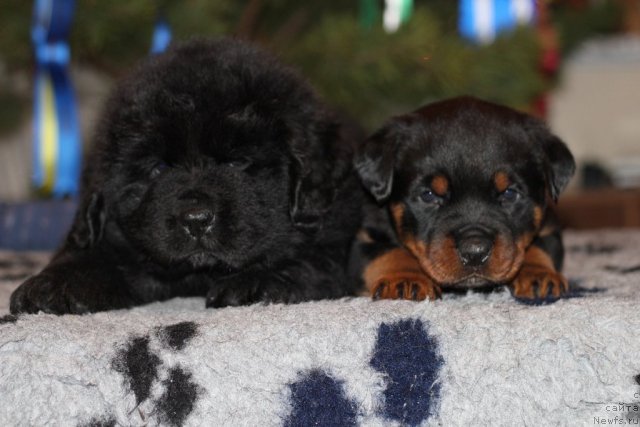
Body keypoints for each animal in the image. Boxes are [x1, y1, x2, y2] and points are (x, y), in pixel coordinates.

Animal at [10, 39, 362, 314]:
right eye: (159, 168)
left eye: (238, 162)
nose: (196, 219)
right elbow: (91, 253)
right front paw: (53, 284)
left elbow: (309, 262)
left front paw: (256, 282)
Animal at [352, 98, 576, 304]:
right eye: (428, 195)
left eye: (509, 194)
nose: (474, 252)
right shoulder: (364, 237)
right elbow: (389, 252)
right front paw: (405, 278)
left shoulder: (549, 227)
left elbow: (539, 246)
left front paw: (538, 274)